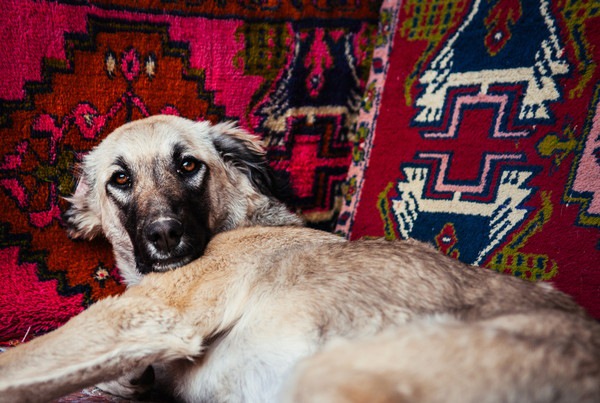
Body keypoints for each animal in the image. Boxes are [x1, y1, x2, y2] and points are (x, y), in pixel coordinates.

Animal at [1, 115, 600, 402]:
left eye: (189, 165)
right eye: (119, 179)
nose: (166, 236)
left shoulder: (147, 315)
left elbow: (21, 358)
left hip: (332, 369)